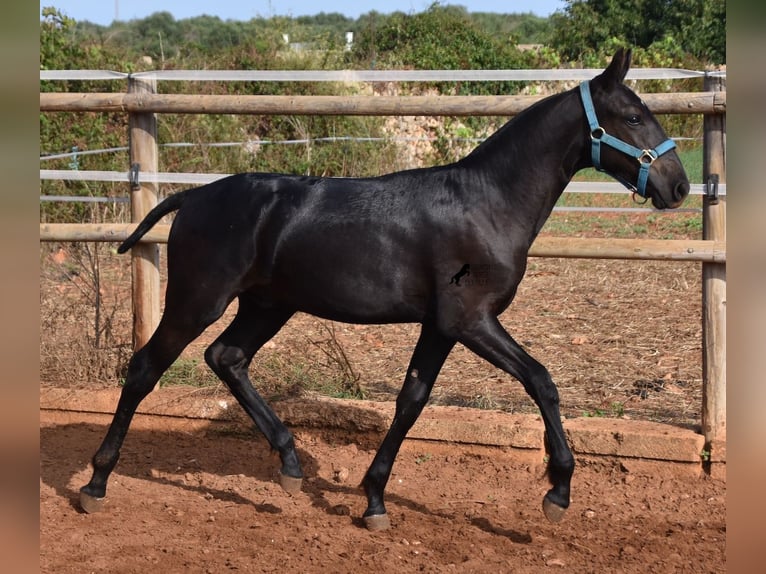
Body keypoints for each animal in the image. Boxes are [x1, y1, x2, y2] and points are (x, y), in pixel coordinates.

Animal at [78, 48, 688, 532]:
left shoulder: (441, 326)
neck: (487, 202)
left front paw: (373, 499)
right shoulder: (470, 320)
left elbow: (412, 400)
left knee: (226, 357)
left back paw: (290, 465)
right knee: (145, 368)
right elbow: (541, 380)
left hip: (268, 305)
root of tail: (193, 197)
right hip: (197, 300)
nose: (678, 186)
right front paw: (557, 492)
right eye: (633, 116)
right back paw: (95, 484)